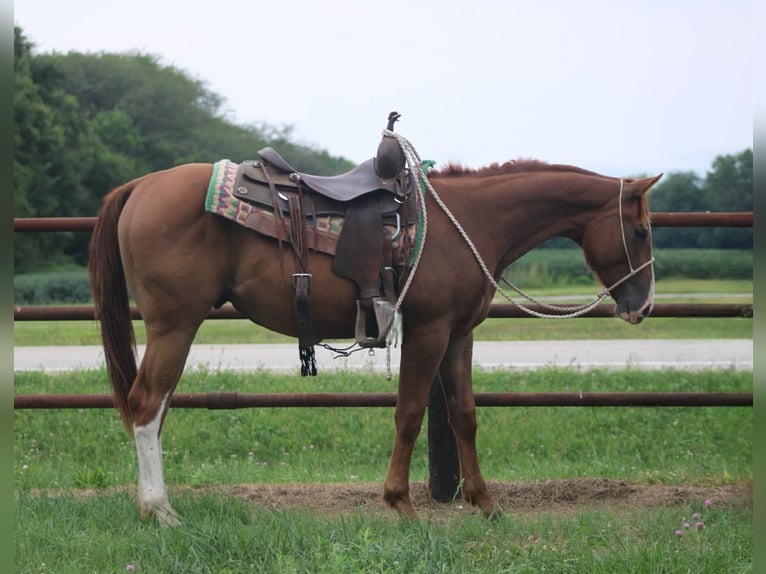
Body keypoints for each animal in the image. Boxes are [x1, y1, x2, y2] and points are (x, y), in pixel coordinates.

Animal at [89, 155, 661, 526]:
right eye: (640, 232)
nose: (643, 306)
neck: (468, 222)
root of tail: (139, 186)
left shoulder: (459, 335)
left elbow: (464, 416)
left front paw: (485, 503)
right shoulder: (429, 330)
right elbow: (409, 412)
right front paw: (400, 504)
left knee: (155, 409)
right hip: (175, 325)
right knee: (146, 405)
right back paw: (160, 510)